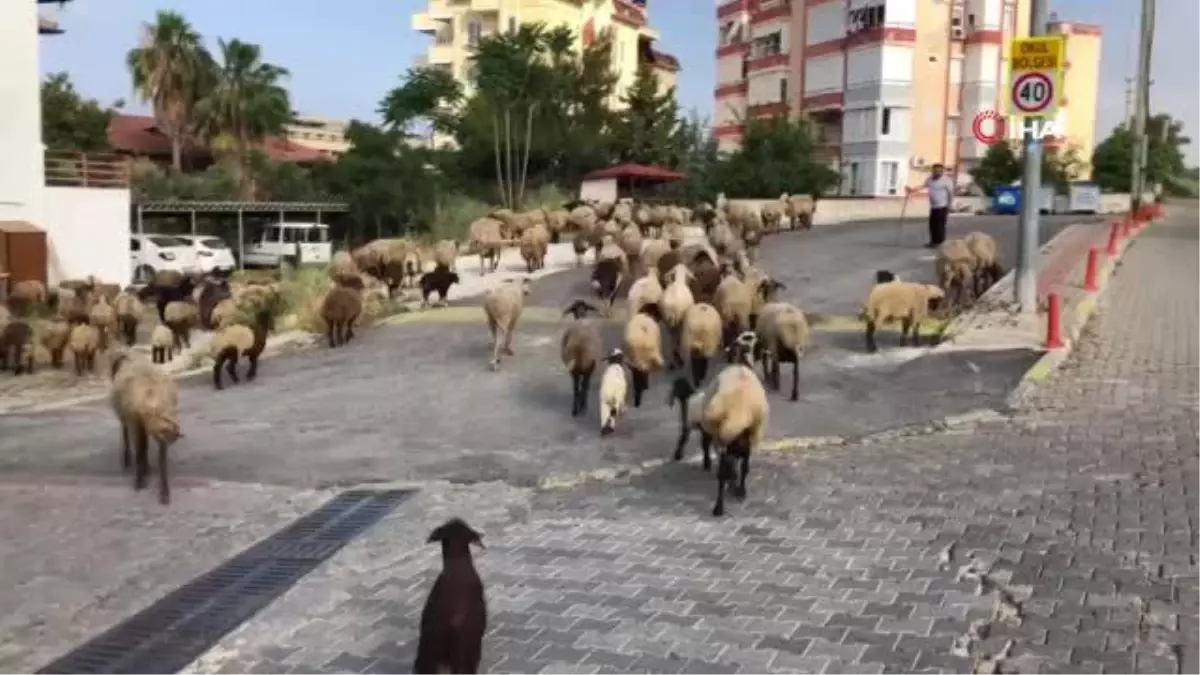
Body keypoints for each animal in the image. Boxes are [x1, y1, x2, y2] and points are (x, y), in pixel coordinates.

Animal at [109, 348, 181, 502]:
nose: (175, 433)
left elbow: (159, 459)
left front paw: (164, 493)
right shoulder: (135, 423)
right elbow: (140, 451)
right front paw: (139, 482)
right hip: (127, 419)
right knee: (127, 435)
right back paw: (129, 460)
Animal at [667, 331, 768, 514]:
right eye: (755, 341)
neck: (742, 364)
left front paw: (735, 489)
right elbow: (741, 469)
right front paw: (738, 490)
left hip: (723, 439)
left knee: (724, 467)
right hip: (724, 438)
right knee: (727, 470)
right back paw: (723, 502)